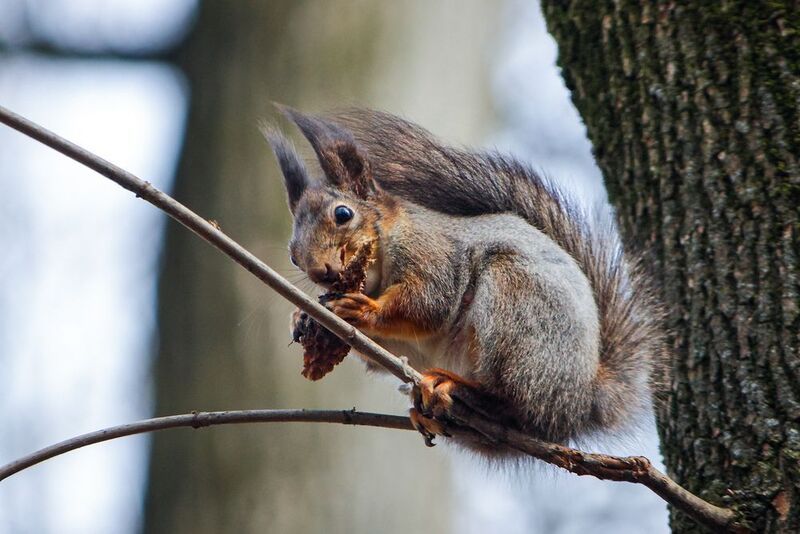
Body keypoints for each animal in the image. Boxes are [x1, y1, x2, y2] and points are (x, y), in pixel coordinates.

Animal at [265, 107, 664, 450]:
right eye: (293, 255)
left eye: (343, 214)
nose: (320, 272)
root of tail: (578, 404)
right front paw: (302, 317)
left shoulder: (434, 254)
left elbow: (429, 303)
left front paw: (365, 311)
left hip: (515, 306)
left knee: (512, 402)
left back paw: (458, 388)